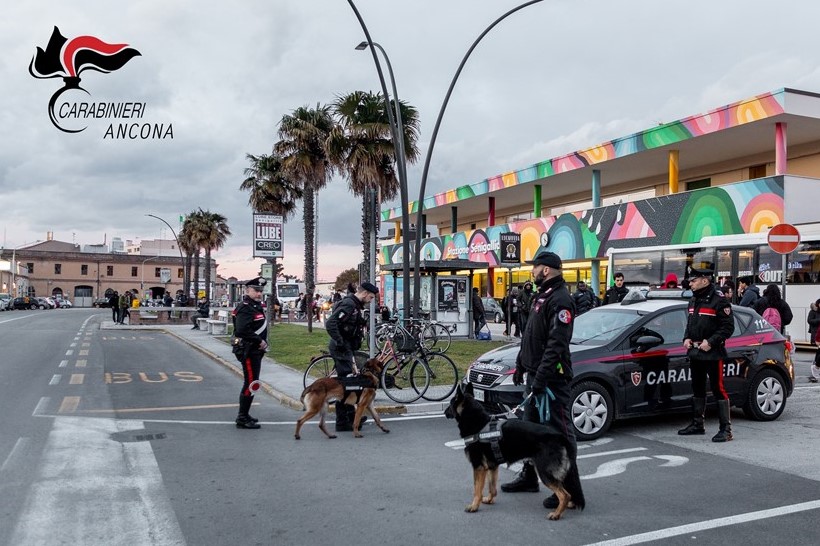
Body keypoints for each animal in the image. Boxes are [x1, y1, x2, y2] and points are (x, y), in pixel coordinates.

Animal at [448, 380, 584, 516]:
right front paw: (489, 499)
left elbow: (476, 490)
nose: (445, 412)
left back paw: (556, 513)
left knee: (564, 494)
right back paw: (569, 504)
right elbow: (492, 487)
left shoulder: (479, 467)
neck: (478, 422)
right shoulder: (492, 466)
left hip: (545, 471)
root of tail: (558, 435)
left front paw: (474, 506)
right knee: (568, 490)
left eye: (450, 404)